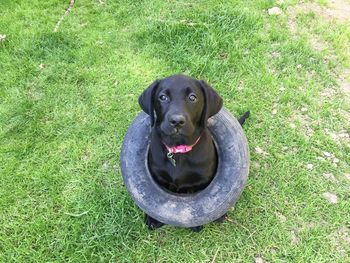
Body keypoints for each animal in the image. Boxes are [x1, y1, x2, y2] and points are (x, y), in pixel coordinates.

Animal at [138, 75, 247, 233]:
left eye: (192, 97)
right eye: (162, 97)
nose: (177, 121)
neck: (179, 151)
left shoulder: (202, 181)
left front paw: (196, 224)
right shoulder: (159, 177)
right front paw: (153, 218)